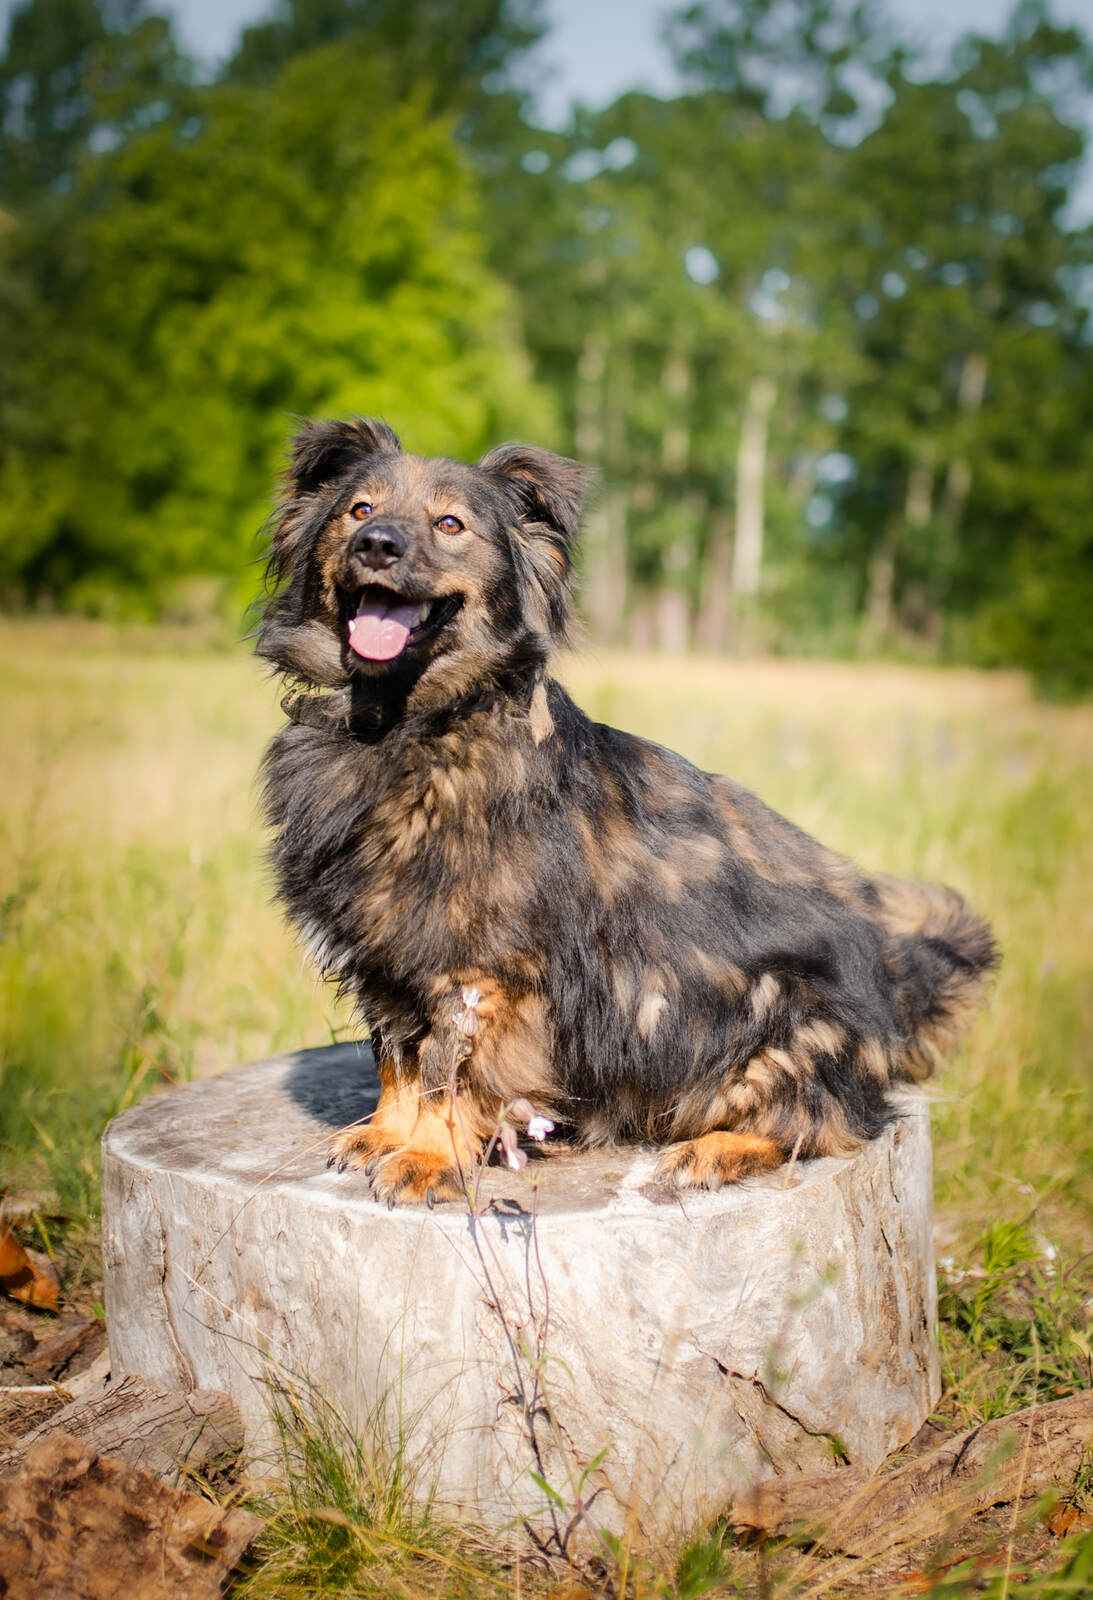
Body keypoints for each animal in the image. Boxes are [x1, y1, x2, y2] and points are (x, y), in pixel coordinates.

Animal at [259, 419, 998, 1203]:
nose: (377, 545)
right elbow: (395, 1059)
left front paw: (430, 1156)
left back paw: (715, 1149)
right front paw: (383, 1134)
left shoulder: (475, 970)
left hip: (780, 1018)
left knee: (818, 1120)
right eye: (358, 510)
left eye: (450, 524)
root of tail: (895, 979)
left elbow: (445, 1073)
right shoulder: (385, 953)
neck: (411, 722)